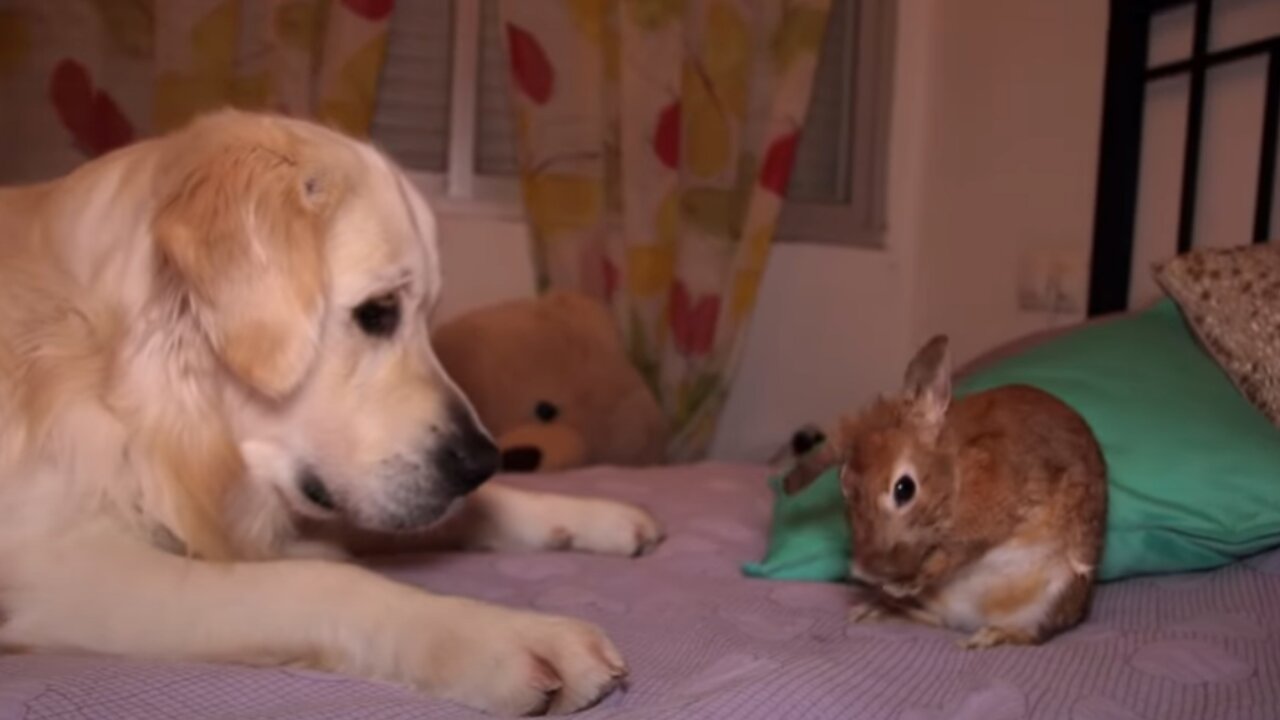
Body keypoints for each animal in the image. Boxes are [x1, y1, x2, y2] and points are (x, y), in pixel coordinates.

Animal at [829, 335, 1100, 645]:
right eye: (843, 480)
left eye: (904, 489)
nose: (865, 571)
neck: (954, 469)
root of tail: (967, 621)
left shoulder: (979, 530)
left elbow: (945, 560)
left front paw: (901, 586)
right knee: (936, 620)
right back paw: (877, 611)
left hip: (1054, 596)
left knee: (1033, 635)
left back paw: (990, 636)